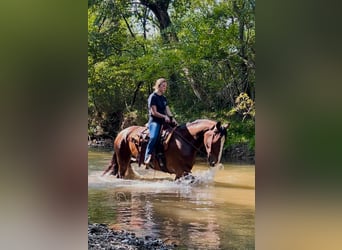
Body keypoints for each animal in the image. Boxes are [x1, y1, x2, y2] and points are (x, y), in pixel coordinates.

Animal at [101, 119, 230, 180]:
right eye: (216, 140)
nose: (214, 162)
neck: (184, 141)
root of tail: (121, 133)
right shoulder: (180, 171)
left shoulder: (186, 171)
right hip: (122, 160)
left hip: (130, 159)